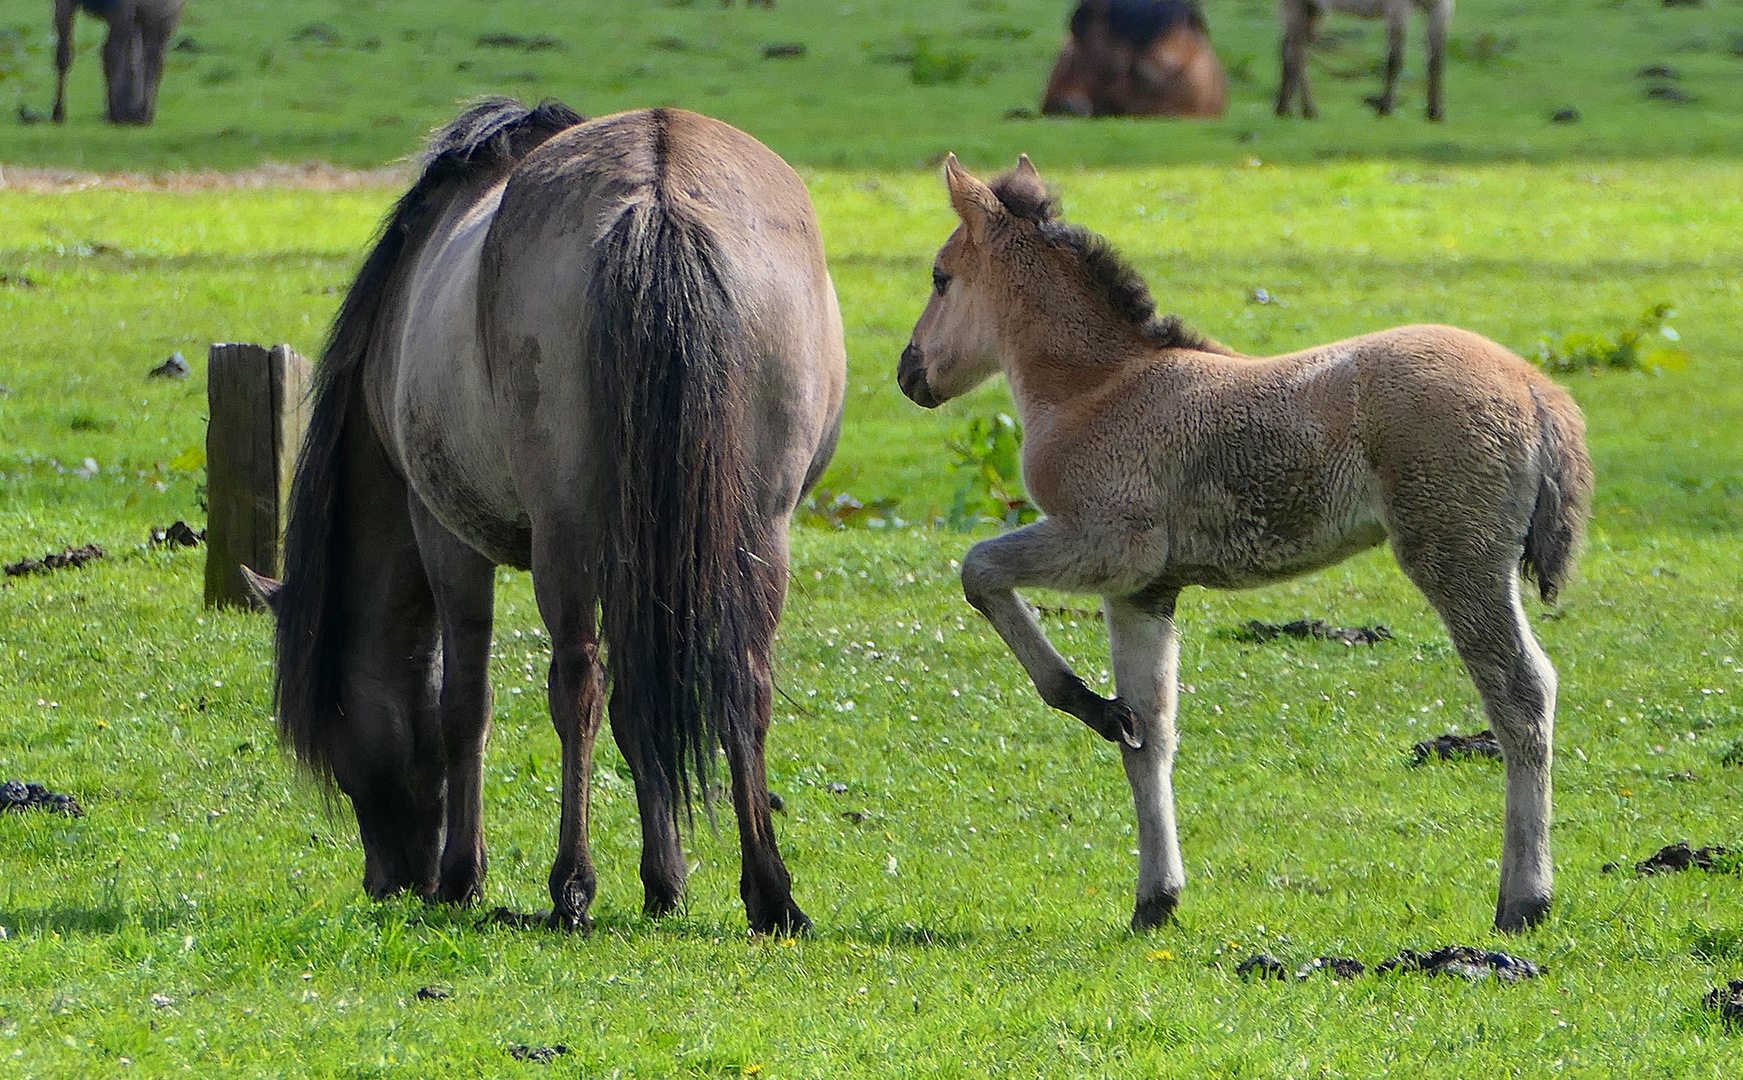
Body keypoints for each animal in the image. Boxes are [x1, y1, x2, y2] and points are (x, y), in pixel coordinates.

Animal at [245, 97, 843, 933]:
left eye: (333, 723)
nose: (388, 879)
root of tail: (658, 188)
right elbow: (635, 705)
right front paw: (665, 880)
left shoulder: (446, 534)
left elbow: (465, 704)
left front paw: (464, 875)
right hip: (756, 534)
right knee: (741, 685)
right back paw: (770, 893)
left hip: (566, 539)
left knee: (576, 687)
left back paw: (572, 885)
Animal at [899, 154, 1596, 933]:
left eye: (940, 277)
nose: (907, 372)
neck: (1098, 389)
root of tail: (1536, 389)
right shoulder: (1144, 589)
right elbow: (1151, 732)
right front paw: (1155, 897)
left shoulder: (1111, 544)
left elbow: (979, 568)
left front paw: (1082, 700)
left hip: (1454, 555)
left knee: (1521, 694)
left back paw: (1523, 900)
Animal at [1275, 0, 1450, 121]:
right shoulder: (1398, 8)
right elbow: (1395, 60)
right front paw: (1385, 109)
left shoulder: (1442, 7)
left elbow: (1436, 61)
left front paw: (1435, 113)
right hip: (1303, 7)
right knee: (1295, 54)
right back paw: (1308, 111)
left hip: (1313, 10)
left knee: (1291, 52)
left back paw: (1285, 109)